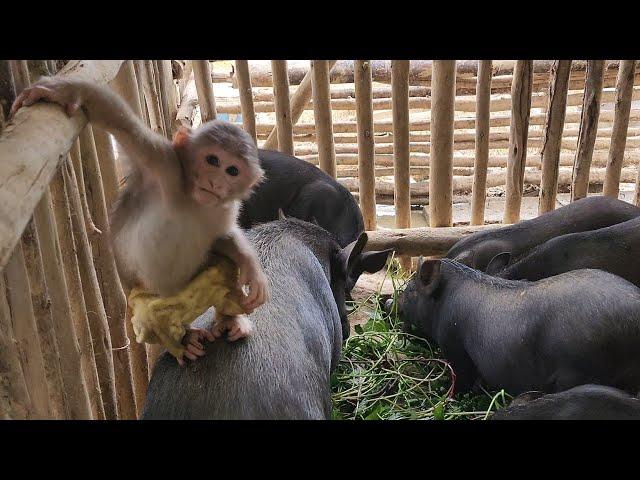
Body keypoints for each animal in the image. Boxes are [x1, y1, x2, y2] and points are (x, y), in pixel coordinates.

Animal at [12, 77, 268, 366]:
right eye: (212, 160)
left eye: (232, 170)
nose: (215, 182)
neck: (193, 201)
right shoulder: (164, 164)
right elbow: (122, 124)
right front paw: (66, 91)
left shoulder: (225, 208)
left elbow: (223, 237)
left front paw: (251, 268)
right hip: (143, 297)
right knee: (152, 317)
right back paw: (183, 340)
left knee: (223, 266)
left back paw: (229, 320)